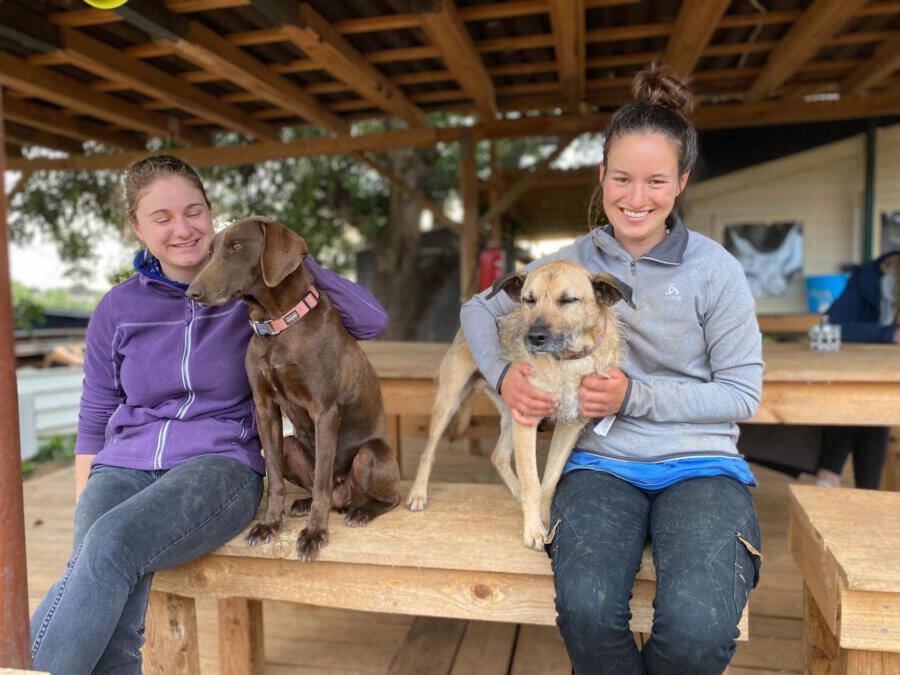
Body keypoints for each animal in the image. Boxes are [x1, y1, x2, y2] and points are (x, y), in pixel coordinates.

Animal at [186, 216, 400, 561]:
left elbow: (322, 483)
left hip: (370, 456)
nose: (193, 292)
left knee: (380, 496)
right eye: (210, 251)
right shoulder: (265, 409)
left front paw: (315, 533)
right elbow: (274, 479)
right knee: (319, 489)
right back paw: (304, 503)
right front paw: (270, 524)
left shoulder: (325, 412)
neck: (278, 327)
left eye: (236, 246)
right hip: (290, 446)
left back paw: (362, 511)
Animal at [406, 260, 634, 550]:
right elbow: (531, 481)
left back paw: (514, 491)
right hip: (449, 400)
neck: (566, 362)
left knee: (498, 455)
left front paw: (544, 520)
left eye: (568, 300)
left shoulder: (569, 425)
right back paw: (417, 495)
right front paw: (533, 529)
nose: (534, 337)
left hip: (509, 415)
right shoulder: (527, 419)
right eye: (529, 300)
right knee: (429, 451)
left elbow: (548, 481)